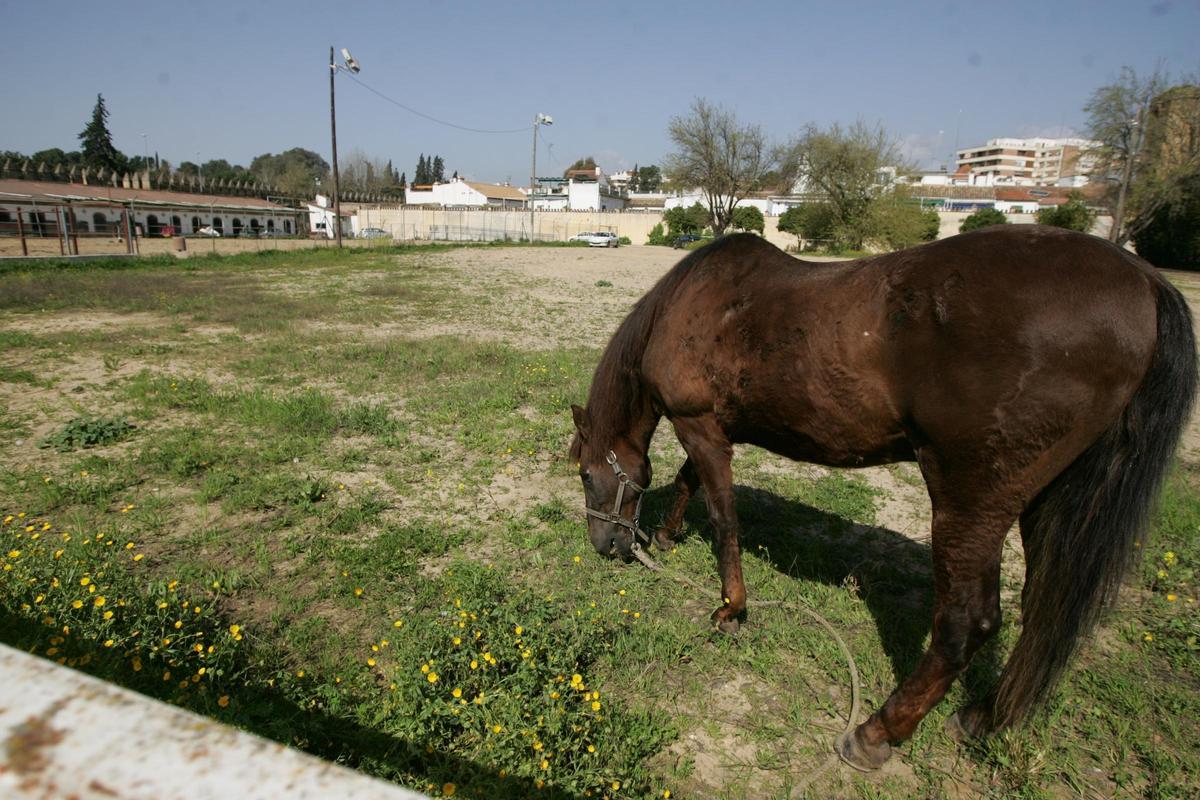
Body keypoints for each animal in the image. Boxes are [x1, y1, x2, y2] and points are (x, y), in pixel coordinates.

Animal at [568, 226, 1196, 770]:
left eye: (585, 473)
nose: (604, 544)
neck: (691, 304)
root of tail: (1146, 283)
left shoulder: (700, 426)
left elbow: (724, 520)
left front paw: (730, 609)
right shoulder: (714, 430)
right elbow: (685, 482)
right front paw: (668, 537)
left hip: (970, 500)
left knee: (967, 622)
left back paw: (877, 732)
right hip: (1047, 504)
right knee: (1042, 615)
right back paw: (984, 718)